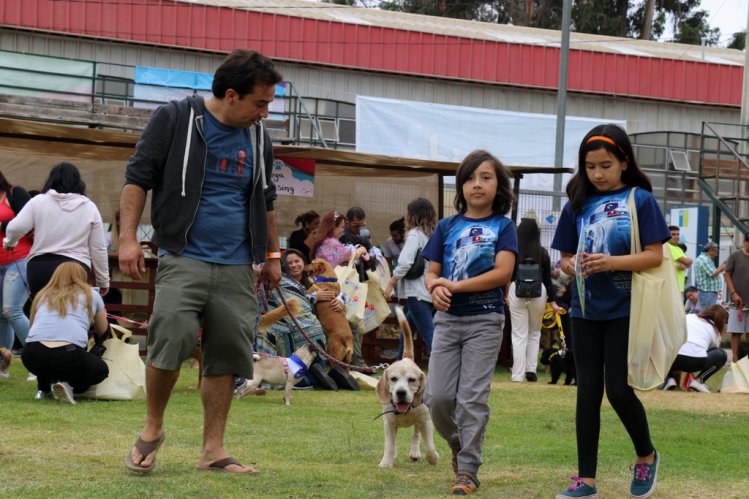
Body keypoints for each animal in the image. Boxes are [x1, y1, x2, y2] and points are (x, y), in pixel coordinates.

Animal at [374, 308, 438, 468]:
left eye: (412, 380)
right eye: (393, 379)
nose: (401, 392)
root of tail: (406, 358)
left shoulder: (426, 421)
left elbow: (429, 446)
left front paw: (433, 458)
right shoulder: (389, 424)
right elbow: (389, 445)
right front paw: (386, 462)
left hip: (419, 423)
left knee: (416, 436)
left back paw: (415, 453)